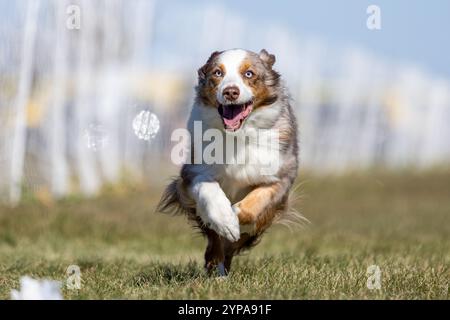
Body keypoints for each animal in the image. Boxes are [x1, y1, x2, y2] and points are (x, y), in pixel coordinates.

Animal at [158, 48, 298, 276]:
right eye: (217, 73)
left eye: (249, 74)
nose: (230, 92)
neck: (238, 135)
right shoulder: (194, 171)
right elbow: (210, 192)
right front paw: (225, 221)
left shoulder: (280, 177)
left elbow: (253, 205)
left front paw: (236, 218)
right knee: (215, 243)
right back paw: (217, 268)